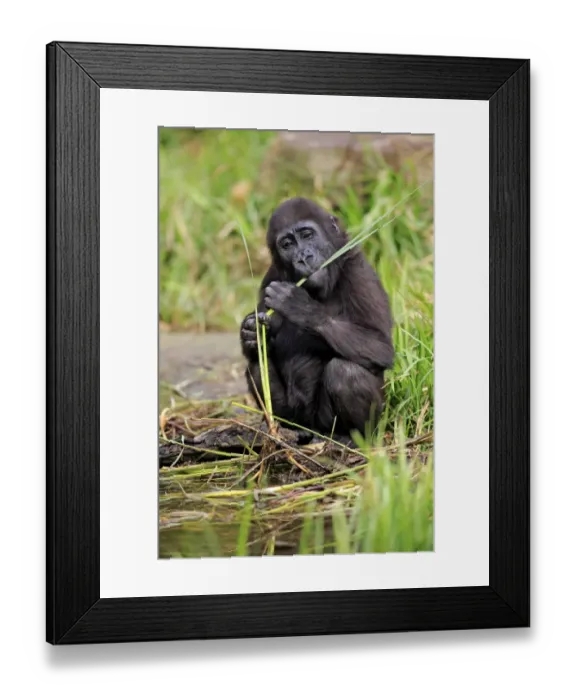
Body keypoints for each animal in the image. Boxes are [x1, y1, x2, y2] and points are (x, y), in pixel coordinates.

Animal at [240, 197, 394, 443]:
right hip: (297, 417)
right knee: (256, 366)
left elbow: (380, 345)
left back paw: (355, 438)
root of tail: (314, 430)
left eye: (307, 234)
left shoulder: (359, 271)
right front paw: (251, 333)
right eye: (287, 244)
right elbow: (261, 349)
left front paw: (299, 306)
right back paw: (284, 430)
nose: (304, 257)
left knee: (346, 372)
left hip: (328, 424)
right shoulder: (271, 277)